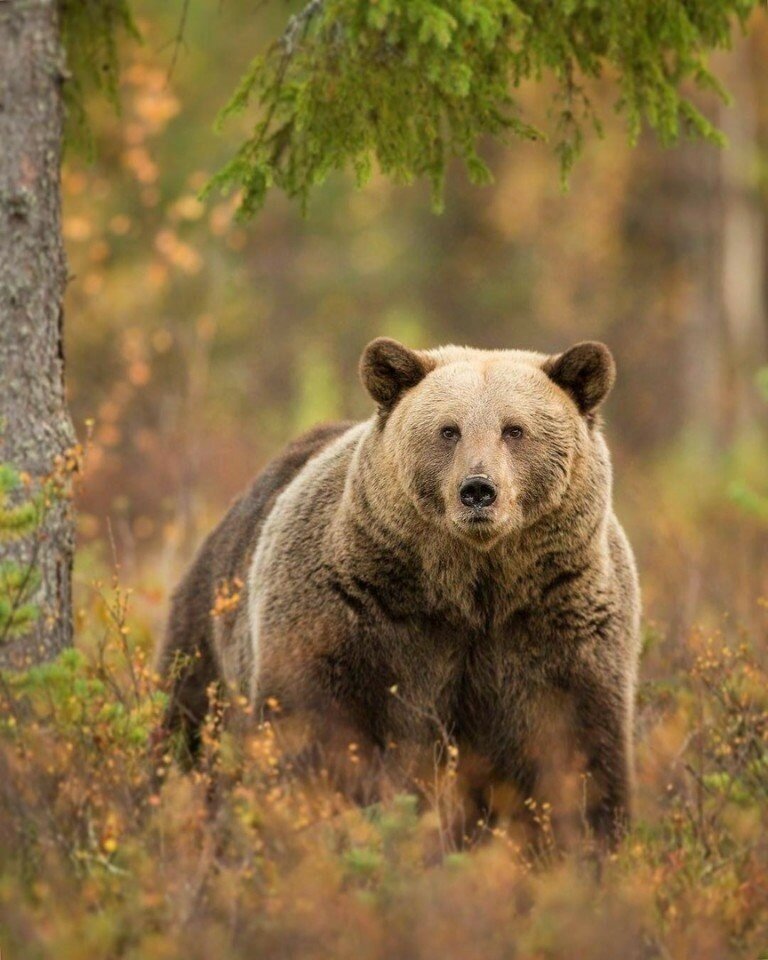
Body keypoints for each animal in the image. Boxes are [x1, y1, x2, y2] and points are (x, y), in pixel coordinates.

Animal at [158, 338, 641, 849]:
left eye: (515, 429)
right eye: (449, 430)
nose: (478, 490)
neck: (472, 588)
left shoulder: (558, 629)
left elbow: (579, 753)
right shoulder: (354, 617)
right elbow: (317, 734)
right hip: (209, 627)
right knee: (185, 730)